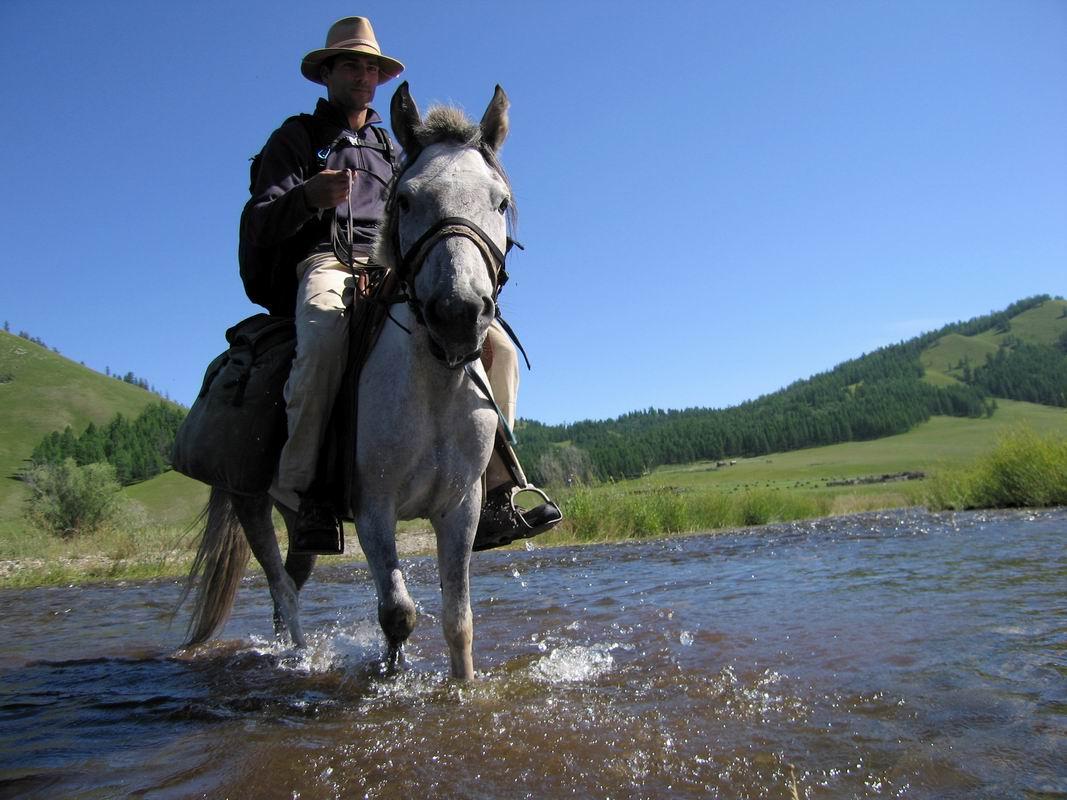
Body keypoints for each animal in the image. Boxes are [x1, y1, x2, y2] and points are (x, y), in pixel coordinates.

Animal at [181, 83, 514, 682]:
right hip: (248, 500)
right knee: (282, 589)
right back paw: (297, 658)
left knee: (293, 576)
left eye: (500, 201)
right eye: (405, 200)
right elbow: (398, 614)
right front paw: (389, 677)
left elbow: (459, 620)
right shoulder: (374, 509)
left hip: (298, 514)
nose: (458, 314)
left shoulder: (461, 508)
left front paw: (463, 689)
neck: (430, 386)